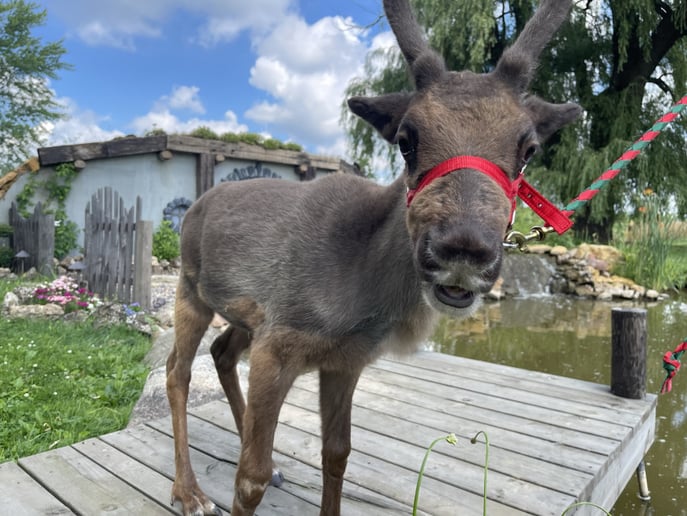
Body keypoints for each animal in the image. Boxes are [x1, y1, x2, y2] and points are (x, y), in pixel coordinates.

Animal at [165, 0, 581, 514]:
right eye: (406, 139)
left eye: (529, 148)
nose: (462, 248)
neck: (361, 294)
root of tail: (197, 204)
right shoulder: (278, 345)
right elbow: (250, 479)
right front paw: (247, 477)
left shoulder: (345, 360)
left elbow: (337, 454)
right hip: (190, 289)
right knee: (177, 372)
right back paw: (189, 492)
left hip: (245, 316)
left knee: (221, 353)